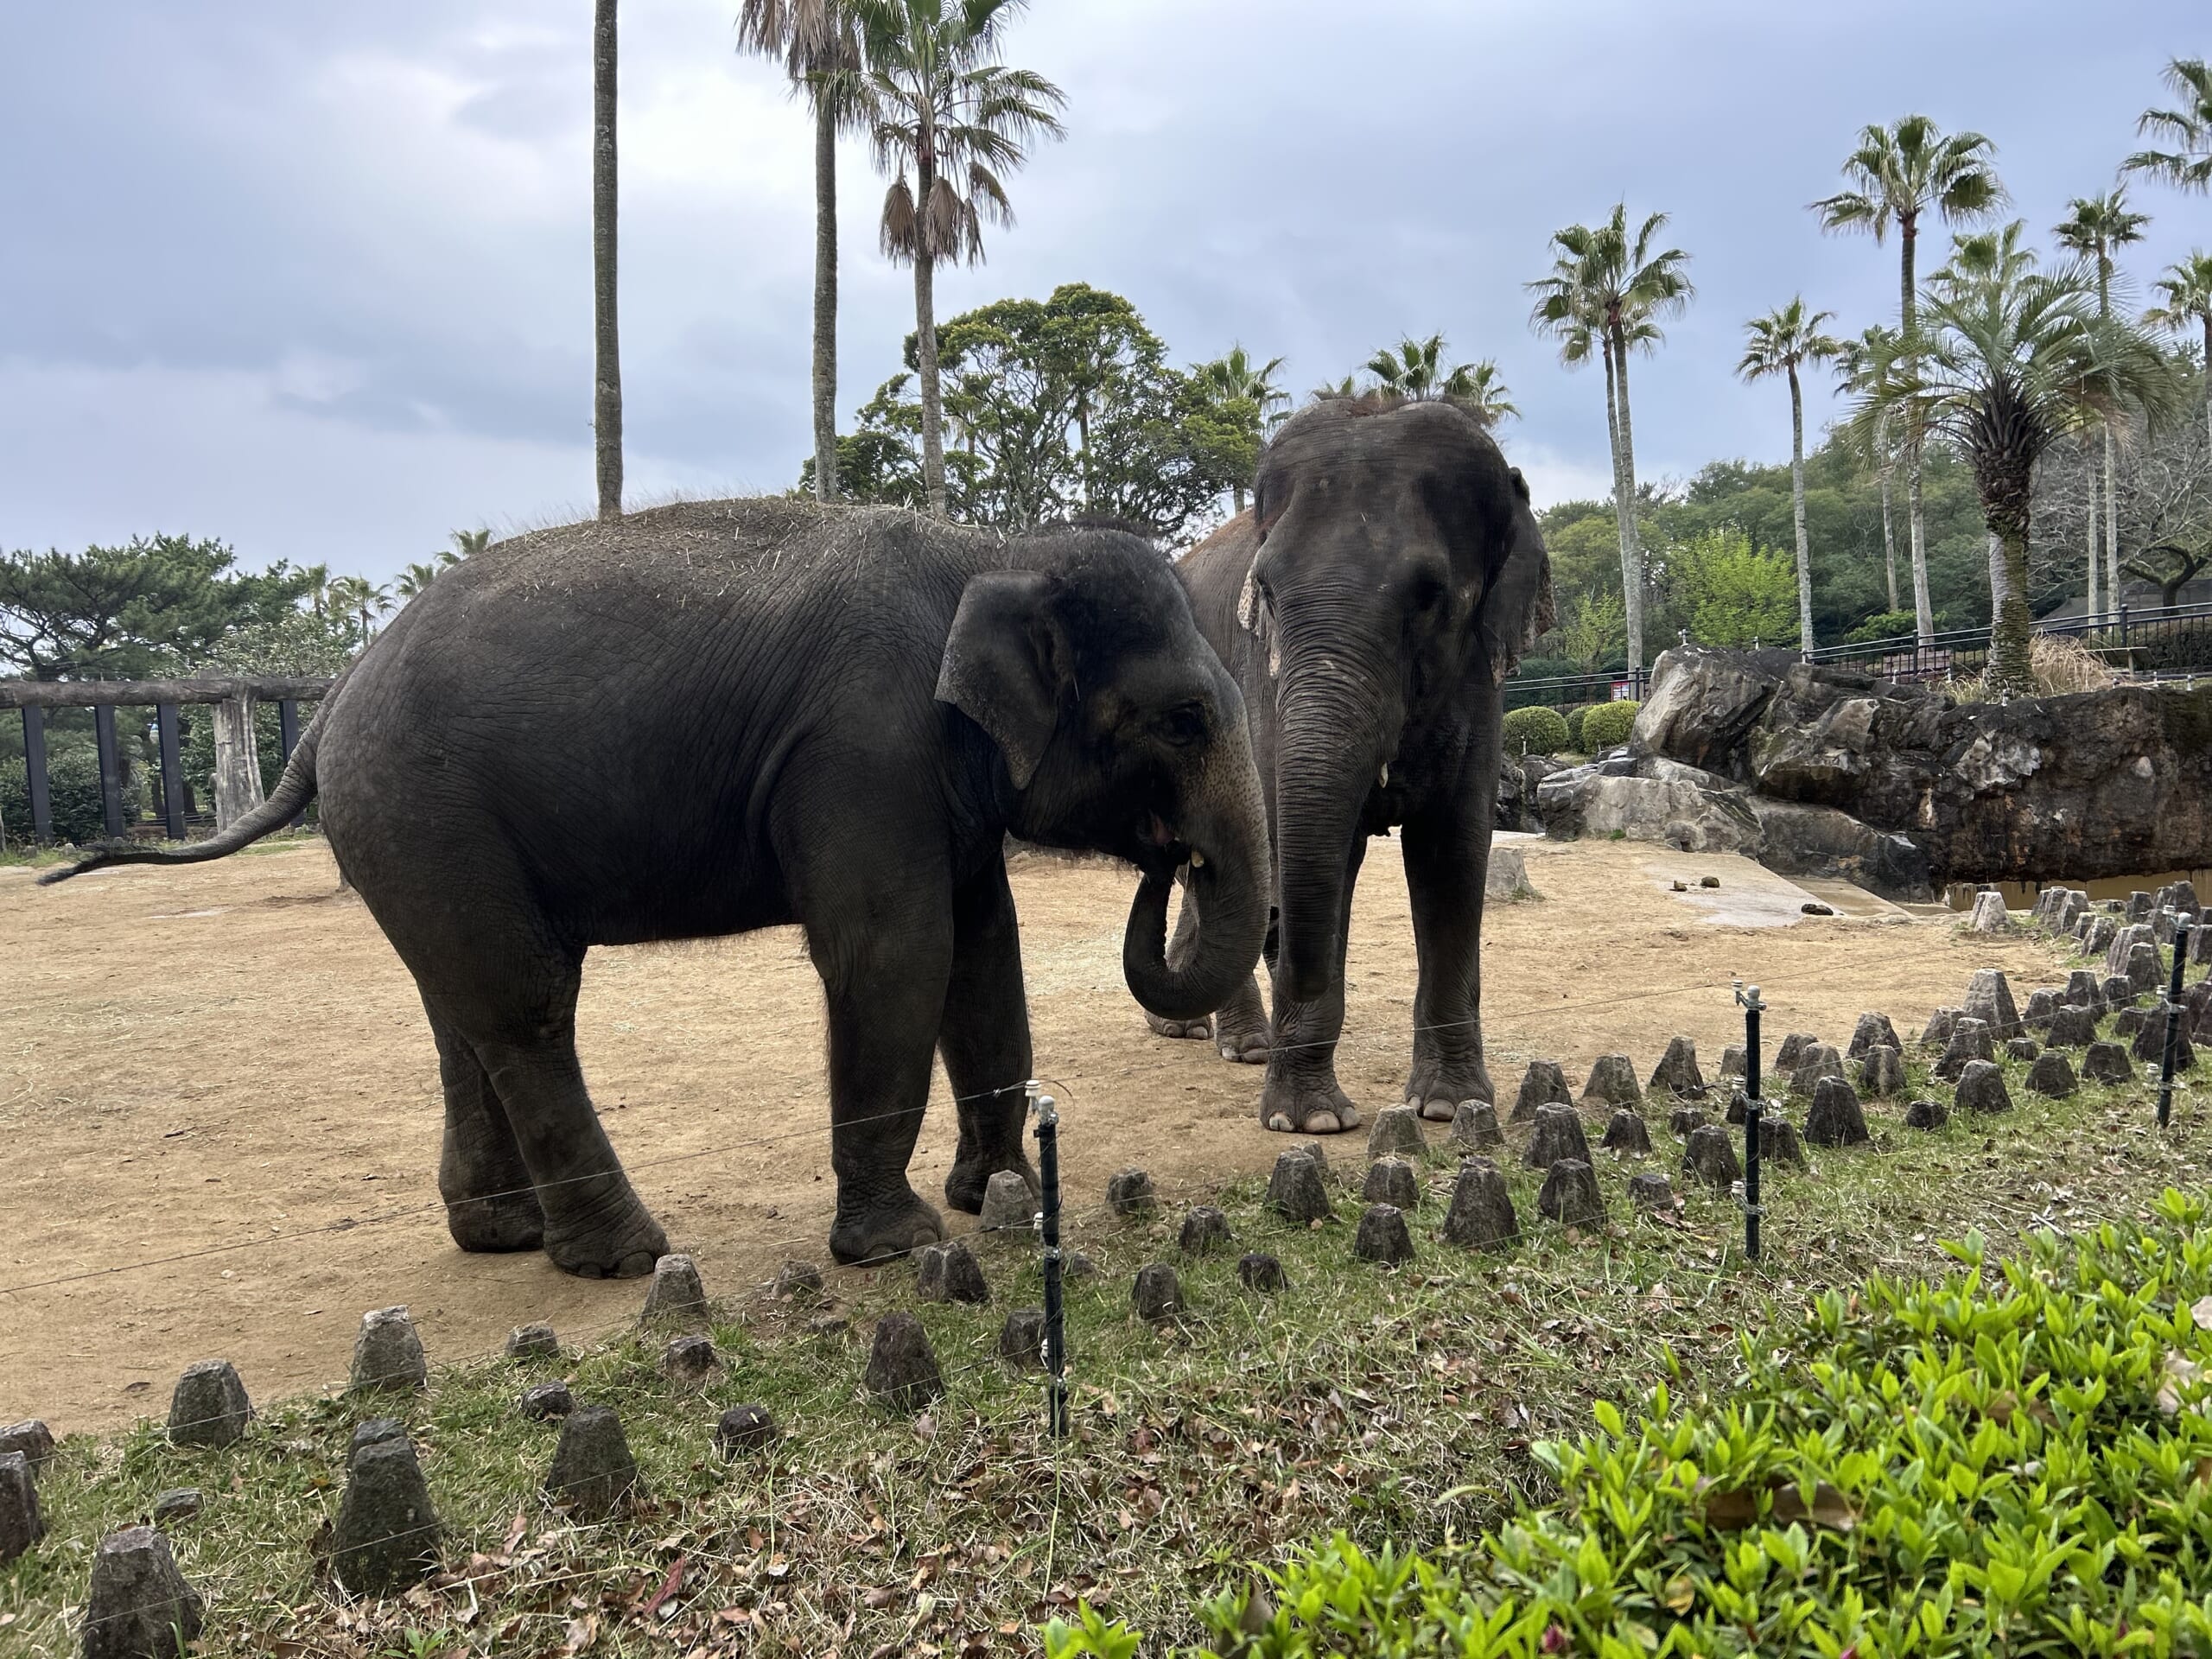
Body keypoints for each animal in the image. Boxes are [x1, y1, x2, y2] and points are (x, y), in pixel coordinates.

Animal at [42, 499, 1274, 1282]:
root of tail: (333, 701)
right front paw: (900, 1244)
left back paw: (503, 1241)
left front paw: (1000, 1198)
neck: (991, 551)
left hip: (408, 834)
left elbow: (983, 953)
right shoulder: (862, 749)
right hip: (426, 810)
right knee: (527, 1004)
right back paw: (623, 1259)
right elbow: (893, 952)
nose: (1173, 858)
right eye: (1183, 720)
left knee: (458, 1012)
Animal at [1141, 396, 1557, 1141]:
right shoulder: (1261, 683)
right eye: (1266, 590)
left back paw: (1199, 1030)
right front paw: (1307, 1122)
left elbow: (1453, 850)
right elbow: (1309, 850)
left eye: (1430, 595)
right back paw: (1241, 1045)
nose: (1275, 931)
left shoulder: (1481, 683)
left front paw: (1452, 1106)